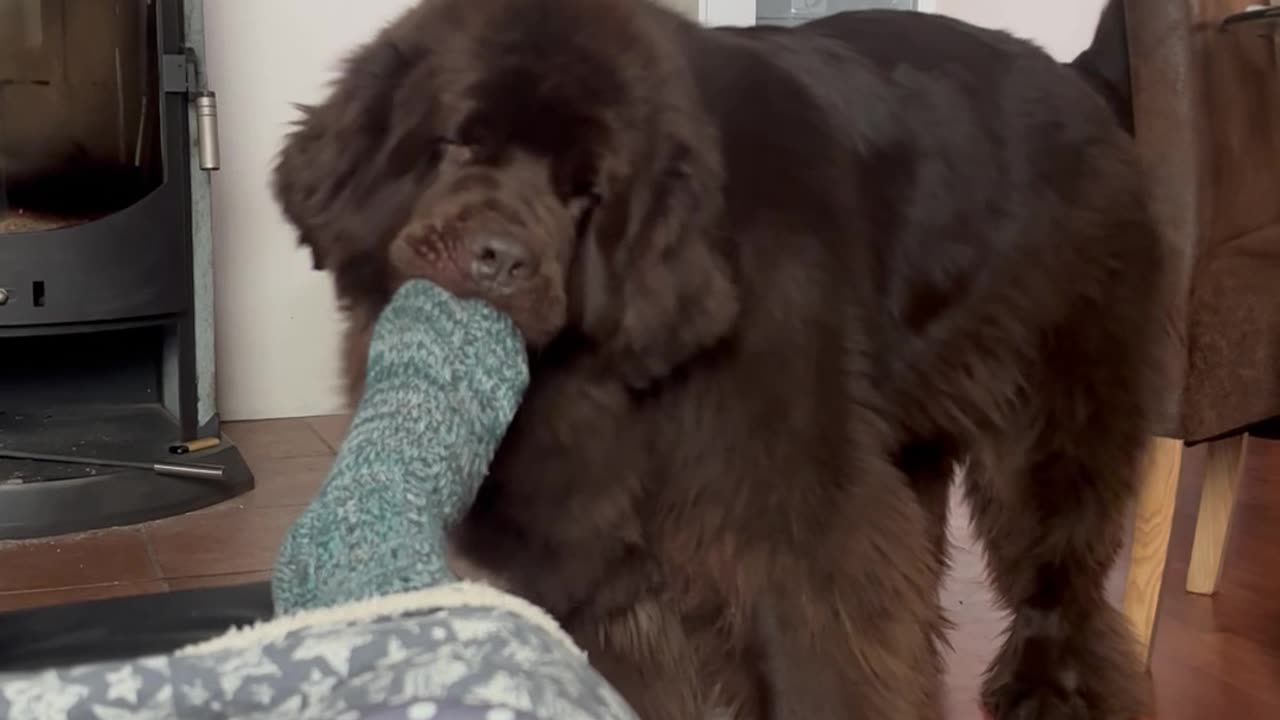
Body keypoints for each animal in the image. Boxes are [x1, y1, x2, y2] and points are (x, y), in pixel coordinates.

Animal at [272, 2, 1172, 712]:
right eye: (459, 144)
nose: (499, 257)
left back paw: (1047, 691)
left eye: (586, 192)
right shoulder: (596, 568)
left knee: (1058, 579)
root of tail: (1078, 81)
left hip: (1046, 422)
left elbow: (828, 658)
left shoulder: (799, 533)